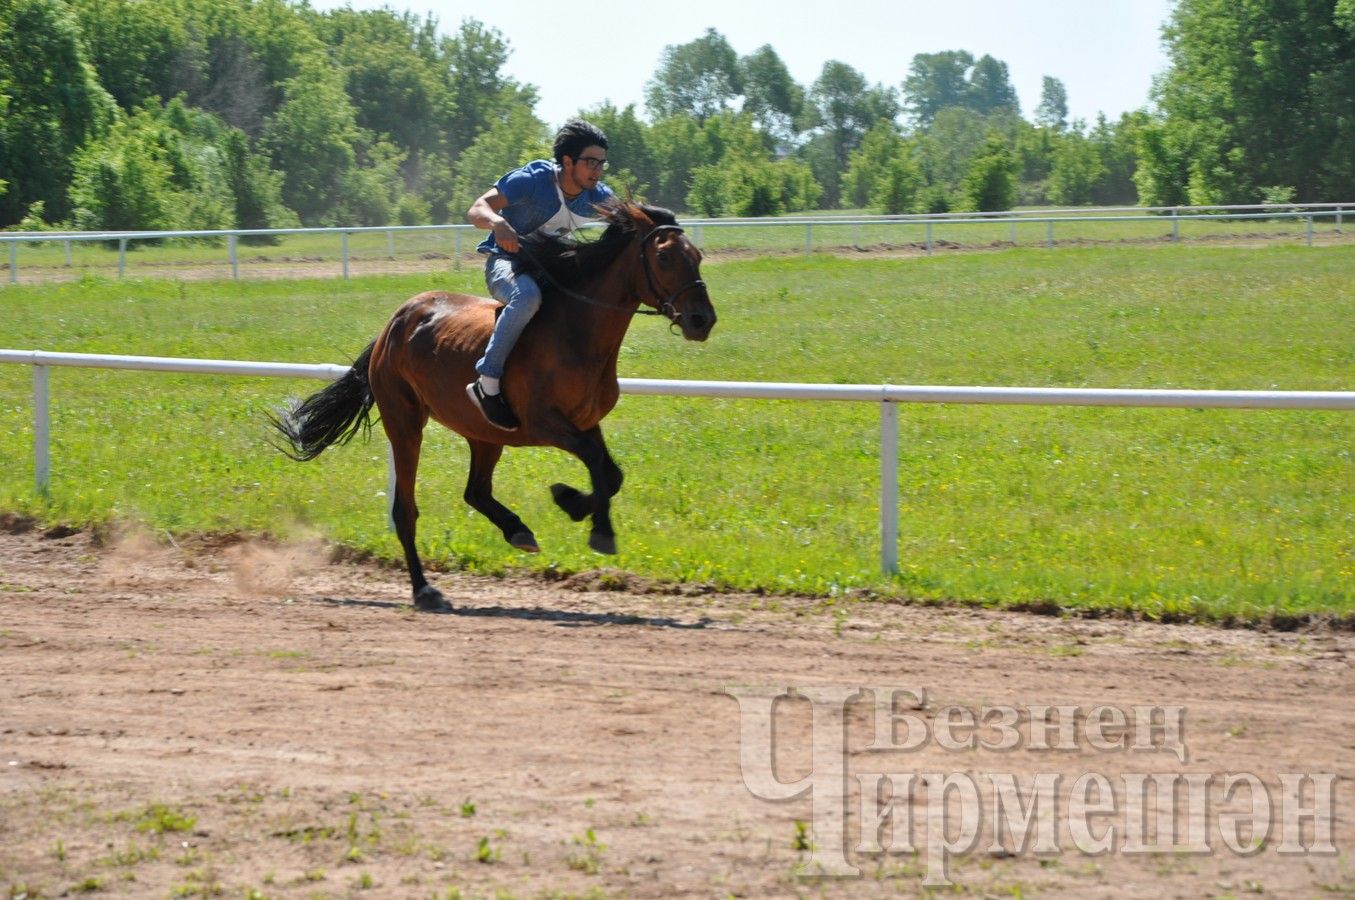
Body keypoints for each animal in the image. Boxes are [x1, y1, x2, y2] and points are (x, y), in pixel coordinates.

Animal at [276, 203, 720, 612]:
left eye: (696, 254)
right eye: (665, 257)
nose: (702, 319)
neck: (575, 332)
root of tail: (394, 323)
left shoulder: (585, 422)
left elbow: (610, 473)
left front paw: (572, 503)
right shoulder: (543, 423)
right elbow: (598, 464)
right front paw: (593, 523)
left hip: (484, 432)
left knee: (475, 491)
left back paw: (517, 530)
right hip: (405, 422)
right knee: (406, 510)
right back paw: (424, 590)